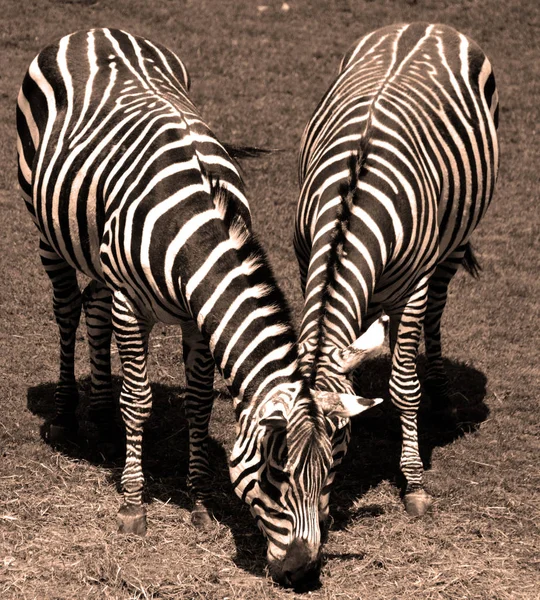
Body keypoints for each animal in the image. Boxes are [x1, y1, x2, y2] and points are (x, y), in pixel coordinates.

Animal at [15, 30, 380, 588]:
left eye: (331, 471)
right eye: (275, 474)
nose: (301, 574)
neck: (196, 229)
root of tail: (94, 31)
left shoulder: (197, 318)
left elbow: (200, 404)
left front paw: (201, 506)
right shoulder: (131, 303)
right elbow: (138, 401)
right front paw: (133, 507)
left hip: (94, 247)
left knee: (92, 305)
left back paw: (101, 420)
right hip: (48, 230)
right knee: (66, 309)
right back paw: (65, 415)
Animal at [294, 23, 500, 516]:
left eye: (337, 439)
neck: (352, 203)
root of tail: (430, 26)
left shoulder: (415, 285)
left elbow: (405, 383)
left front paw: (414, 483)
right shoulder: (306, 260)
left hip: (452, 242)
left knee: (436, 313)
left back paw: (441, 398)